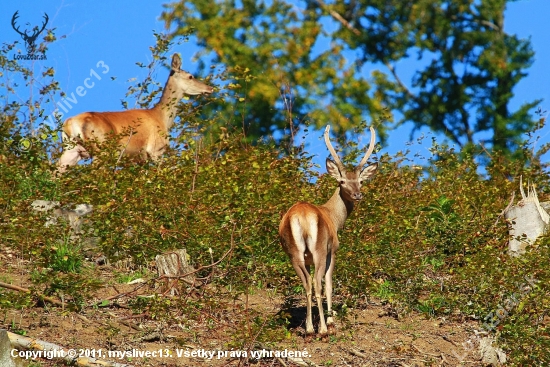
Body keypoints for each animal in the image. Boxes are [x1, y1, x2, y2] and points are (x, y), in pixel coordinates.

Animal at [57, 54, 213, 175]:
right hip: (101, 148)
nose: (210, 88)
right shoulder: (155, 150)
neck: (161, 118)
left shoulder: (137, 157)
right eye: (190, 76)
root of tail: (70, 123)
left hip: (72, 149)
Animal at [280, 126, 380, 336]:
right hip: (319, 249)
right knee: (318, 284)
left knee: (307, 284)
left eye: (360, 181)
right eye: (342, 181)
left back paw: (310, 328)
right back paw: (323, 330)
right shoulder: (332, 251)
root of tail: (301, 216)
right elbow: (329, 285)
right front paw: (331, 320)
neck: (334, 218)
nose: (357, 194)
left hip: (294, 253)